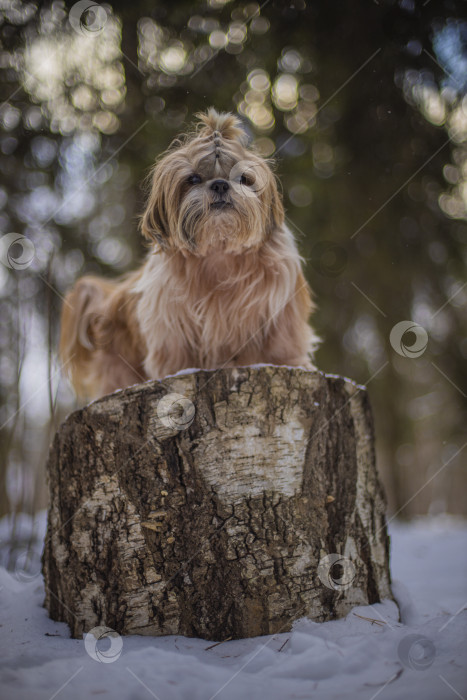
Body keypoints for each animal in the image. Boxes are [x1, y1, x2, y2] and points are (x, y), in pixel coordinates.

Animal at [60, 106, 320, 396]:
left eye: (244, 178)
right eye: (193, 178)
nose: (220, 184)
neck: (219, 250)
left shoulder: (281, 303)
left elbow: (283, 338)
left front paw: (291, 363)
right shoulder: (169, 314)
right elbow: (175, 346)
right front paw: (179, 371)